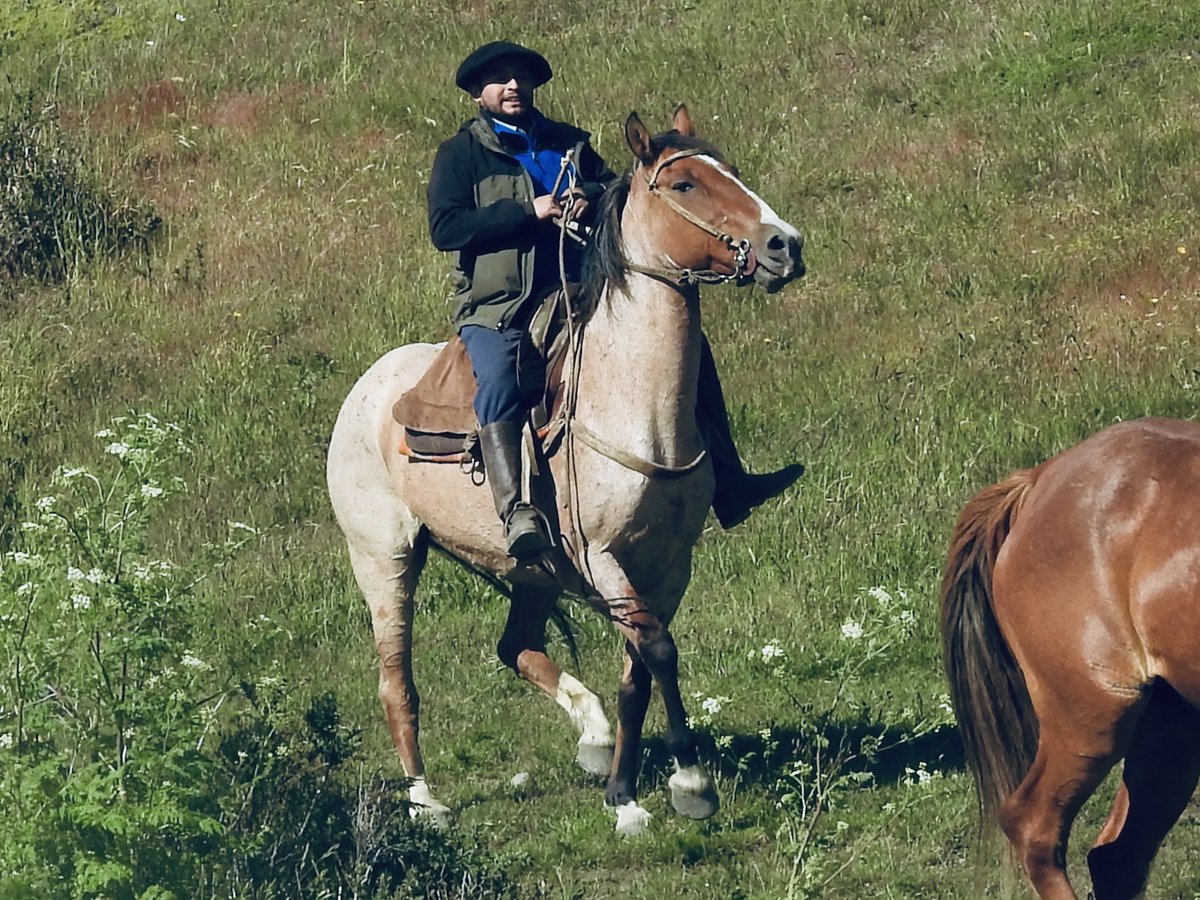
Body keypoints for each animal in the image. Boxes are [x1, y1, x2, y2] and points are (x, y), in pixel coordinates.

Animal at [327, 106, 805, 832]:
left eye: (733, 171)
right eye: (686, 184)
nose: (785, 246)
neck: (637, 407)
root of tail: (366, 388)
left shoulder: (668, 562)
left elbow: (641, 667)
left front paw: (630, 788)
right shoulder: (602, 555)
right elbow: (658, 650)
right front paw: (680, 786)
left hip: (530, 568)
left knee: (516, 646)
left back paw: (594, 736)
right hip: (385, 559)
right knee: (396, 681)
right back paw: (425, 798)